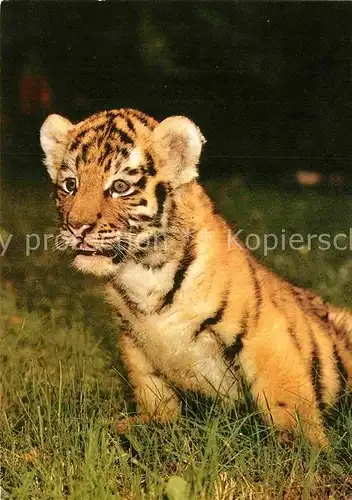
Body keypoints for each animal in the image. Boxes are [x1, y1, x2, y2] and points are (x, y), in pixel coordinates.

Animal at [40, 107, 352, 448]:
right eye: (70, 184)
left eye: (120, 187)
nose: (77, 227)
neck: (142, 271)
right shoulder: (133, 341)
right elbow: (153, 393)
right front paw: (140, 425)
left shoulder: (264, 332)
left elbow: (287, 400)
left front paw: (306, 450)